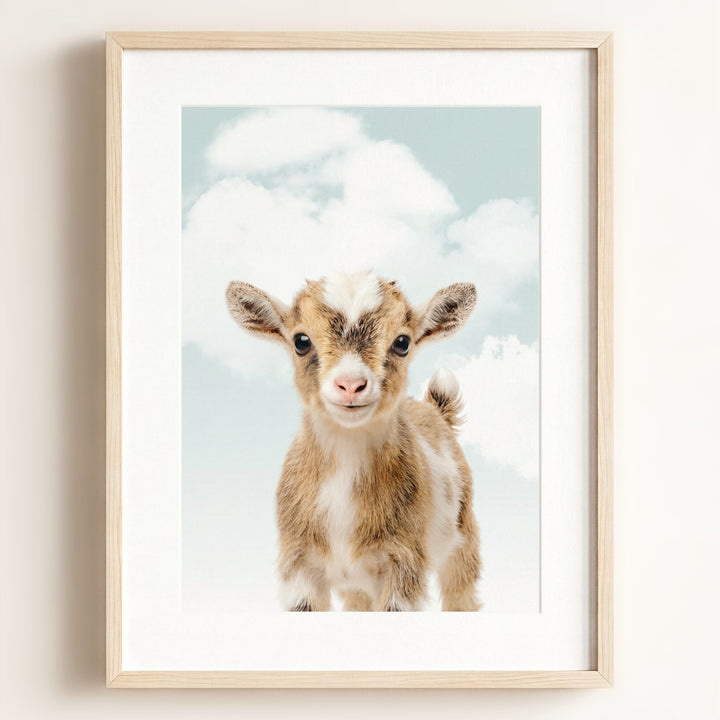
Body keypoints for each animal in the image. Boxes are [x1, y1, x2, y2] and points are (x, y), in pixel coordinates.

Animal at [226, 272, 481, 611]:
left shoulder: (403, 563)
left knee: (462, 592)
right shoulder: (299, 564)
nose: (350, 385)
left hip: (464, 537)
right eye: (301, 341)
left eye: (402, 343)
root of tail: (435, 409)